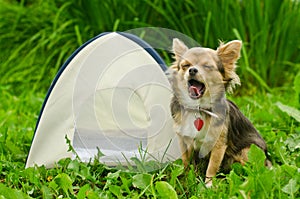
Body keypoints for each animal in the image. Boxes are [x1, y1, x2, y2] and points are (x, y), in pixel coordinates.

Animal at [168, 38, 270, 187]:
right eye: (185, 66)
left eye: (207, 67)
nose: (192, 70)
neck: (199, 108)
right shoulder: (184, 140)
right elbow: (186, 162)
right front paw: (186, 180)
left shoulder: (218, 145)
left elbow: (212, 167)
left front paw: (208, 186)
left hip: (248, 149)